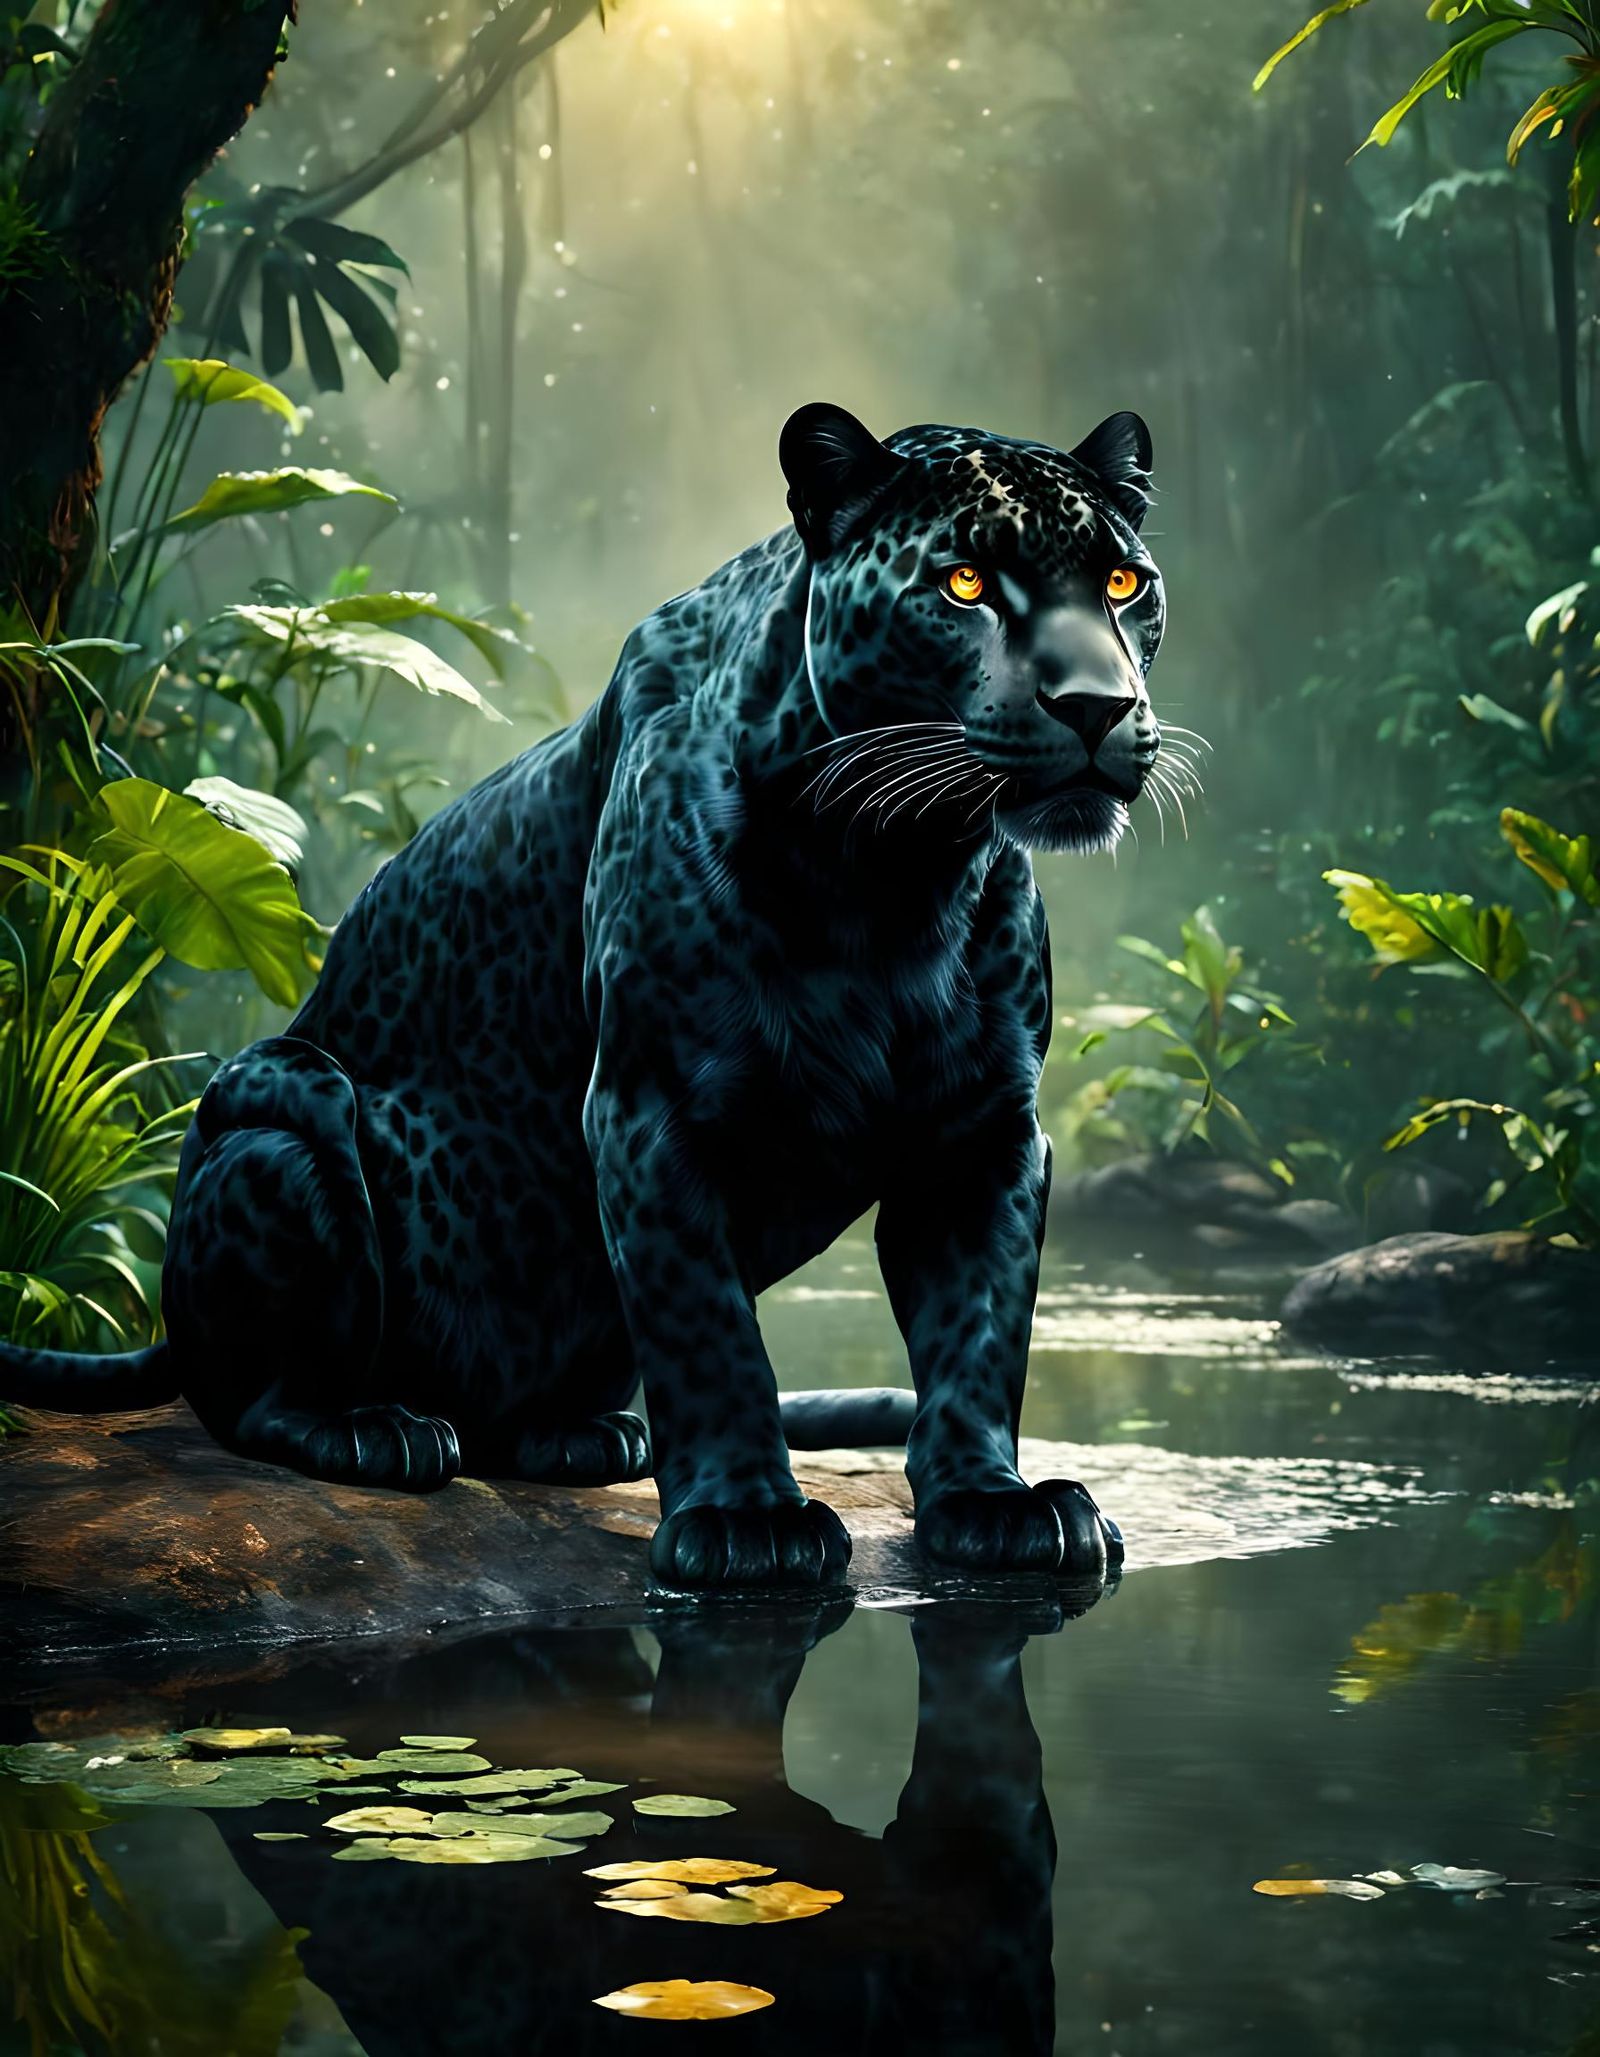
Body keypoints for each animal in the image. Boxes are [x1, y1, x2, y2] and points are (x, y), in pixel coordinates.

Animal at [0, 401, 1165, 1592]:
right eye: (965, 582)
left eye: (1123, 584)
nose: (1097, 705)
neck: (892, 870)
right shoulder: (654, 1109)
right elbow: (707, 1329)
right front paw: (746, 1523)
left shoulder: (983, 1131)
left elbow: (978, 1325)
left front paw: (996, 1504)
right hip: (283, 1112)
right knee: (251, 1392)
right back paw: (378, 1429)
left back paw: (583, 1436)